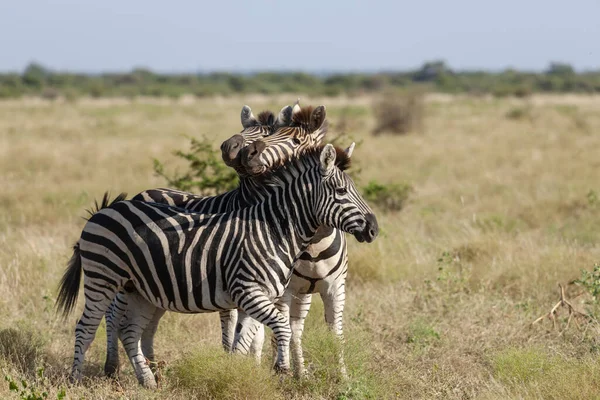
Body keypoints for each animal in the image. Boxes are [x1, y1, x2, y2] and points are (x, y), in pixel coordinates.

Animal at [56, 143, 376, 388]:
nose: (373, 228)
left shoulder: (256, 297)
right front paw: (282, 371)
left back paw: (148, 380)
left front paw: (234, 374)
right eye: (340, 191)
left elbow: (243, 343)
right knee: (88, 327)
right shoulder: (250, 292)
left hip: (141, 289)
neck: (273, 230)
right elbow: (282, 328)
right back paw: (76, 380)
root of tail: (105, 209)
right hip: (103, 278)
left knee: (130, 331)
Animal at [101, 101, 330, 380]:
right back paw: (112, 367)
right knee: (112, 313)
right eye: (242, 130)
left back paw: (151, 368)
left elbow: (255, 332)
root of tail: (143, 192)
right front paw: (235, 365)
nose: (230, 146)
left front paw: (255, 368)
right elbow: (236, 329)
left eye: (268, 134)